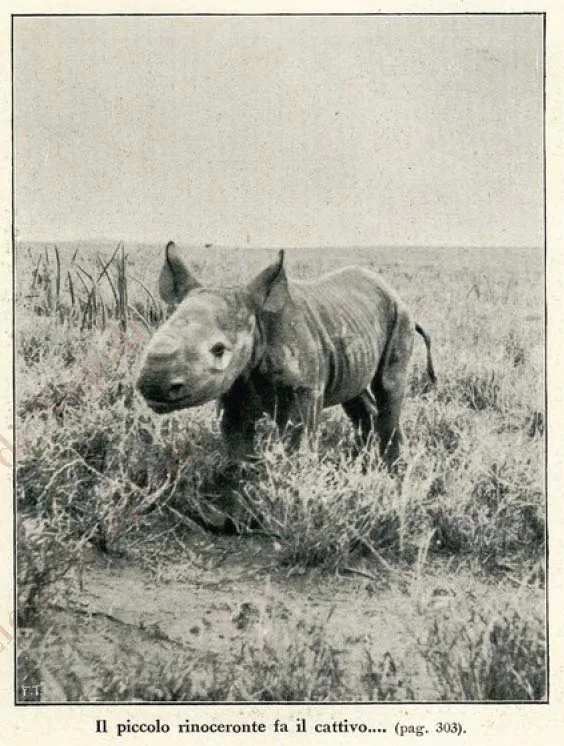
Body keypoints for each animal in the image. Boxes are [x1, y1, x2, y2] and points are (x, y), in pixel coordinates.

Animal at [136, 242, 436, 468]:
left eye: (219, 350)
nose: (153, 385)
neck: (257, 323)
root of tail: (392, 291)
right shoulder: (235, 387)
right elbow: (237, 449)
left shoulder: (303, 388)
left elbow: (298, 445)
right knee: (355, 392)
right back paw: (365, 462)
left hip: (400, 315)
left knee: (388, 386)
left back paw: (391, 468)